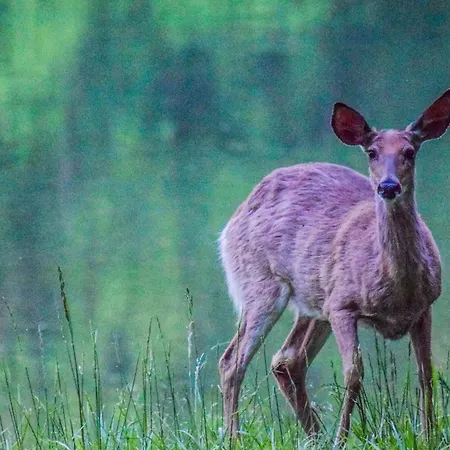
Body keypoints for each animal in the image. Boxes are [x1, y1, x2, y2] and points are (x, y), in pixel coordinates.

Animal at [218, 89, 450, 444]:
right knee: (233, 361)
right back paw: (237, 438)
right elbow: (354, 373)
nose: (388, 187)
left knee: (286, 359)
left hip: (313, 300)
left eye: (410, 151)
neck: (396, 287)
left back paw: (315, 436)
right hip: (261, 285)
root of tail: (233, 220)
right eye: (371, 152)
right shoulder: (342, 305)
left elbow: (426, 373)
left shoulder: (425, 306)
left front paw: (429, 437)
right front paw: (343, 438)